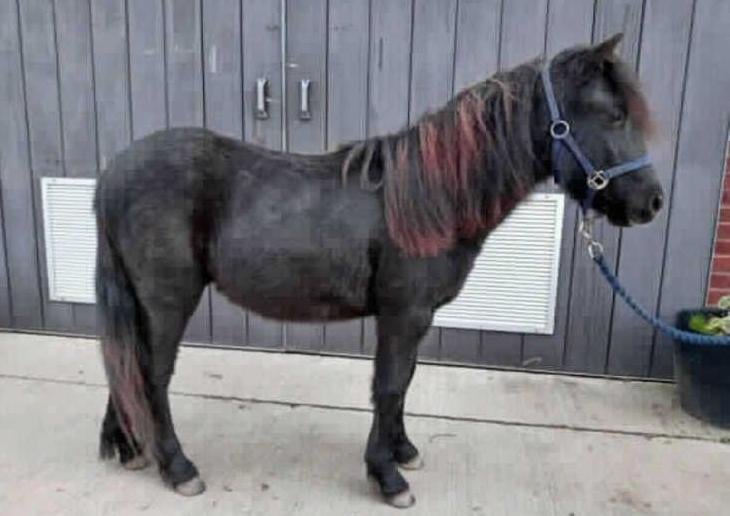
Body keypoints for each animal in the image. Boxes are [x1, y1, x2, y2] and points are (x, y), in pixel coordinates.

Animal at [95, 33, 663, 508]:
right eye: (613, 115)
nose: (651, 203)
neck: (428, 197)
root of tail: (115, 172)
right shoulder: (403, 312)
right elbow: (388, 385)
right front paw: (387, 476)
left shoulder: (416, 317)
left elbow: (404, 382)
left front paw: (403, 450)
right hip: (168, 300)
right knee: (150, 373)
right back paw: (178, 467)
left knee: (125, 363)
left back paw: (130, 447)